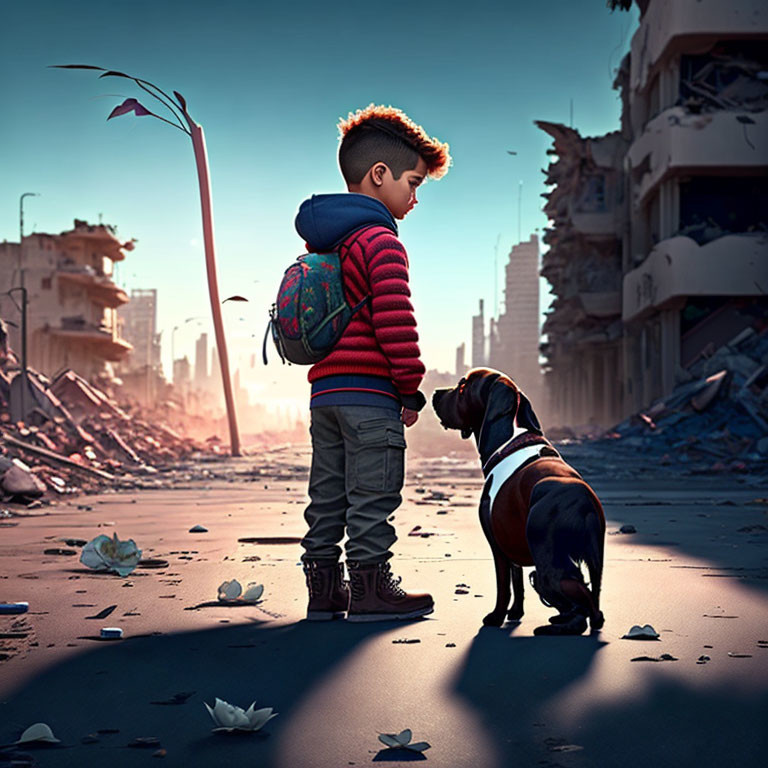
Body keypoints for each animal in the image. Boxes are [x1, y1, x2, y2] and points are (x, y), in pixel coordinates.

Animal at [432, 368, 608, 632]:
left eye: (462, 386)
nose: (435, 393)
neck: (509, 441)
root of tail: (582, 504)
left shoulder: (497, 546)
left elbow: (504, 585)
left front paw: (496, 617)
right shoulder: (509, 536)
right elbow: (517, 581)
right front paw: (515, 612)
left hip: (548, 568)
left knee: (583, 601)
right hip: (595, 560)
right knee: (592, 600)